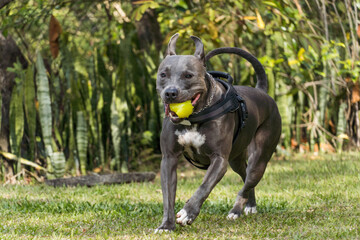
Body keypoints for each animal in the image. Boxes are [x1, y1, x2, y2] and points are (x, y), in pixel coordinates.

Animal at [155, 32, 282, 232]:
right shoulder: (169, 159)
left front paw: (188, 213)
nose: (170, 93)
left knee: (248, 181)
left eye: (188, 75)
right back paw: (249, 205)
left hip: (259, 158)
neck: (194, 117)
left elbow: (204, 187)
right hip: (236, 160)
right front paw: (166, 225)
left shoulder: (219, 159)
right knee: (245, 177)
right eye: (163, 75)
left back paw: (236, 210)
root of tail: (262, 92)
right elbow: (168, 196)